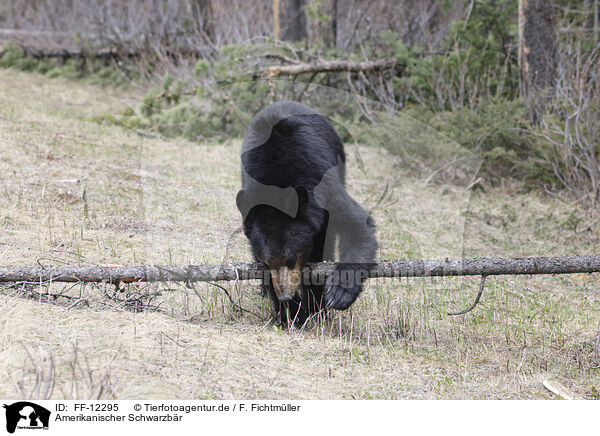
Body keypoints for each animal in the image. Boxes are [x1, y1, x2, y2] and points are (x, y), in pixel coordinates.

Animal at [237, 99, 378, 324]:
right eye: (267, 262)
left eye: (291, 259)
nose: (285, 295)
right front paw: (288, 312)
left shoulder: (324, 187)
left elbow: (357, 225)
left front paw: (337, 294)